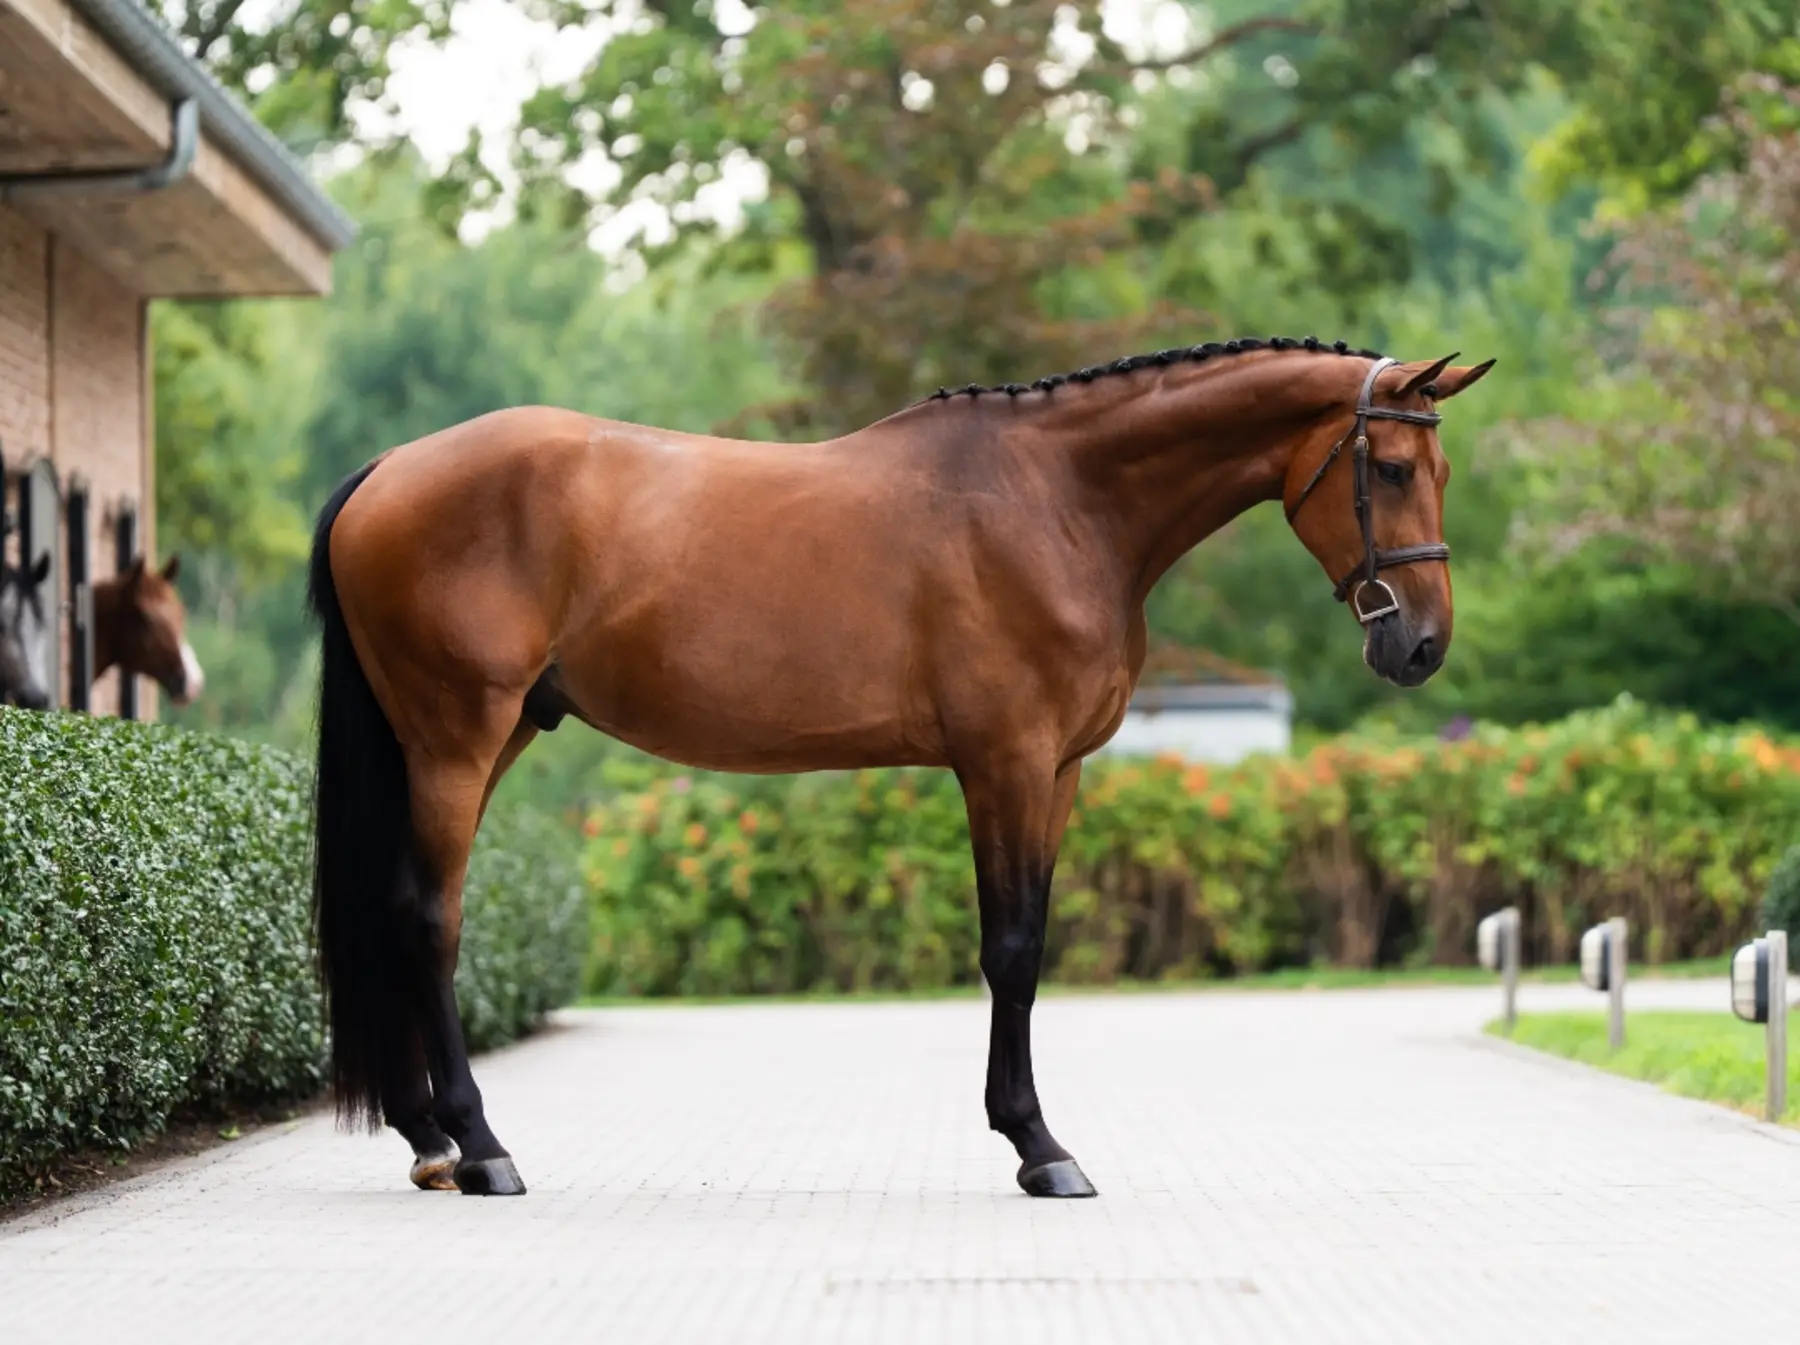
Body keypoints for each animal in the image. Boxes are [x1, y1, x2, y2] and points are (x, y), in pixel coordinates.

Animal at [307, 336, 1494, 1199]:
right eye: (1391, 469)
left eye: (1442, 471)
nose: (1424, 645)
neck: (1061, 500)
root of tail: (387, 471)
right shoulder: (1003, 761)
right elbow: (1010, 949)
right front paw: (1039, 1147)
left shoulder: (1058, 771)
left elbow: (1033, 939)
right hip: (458, 736)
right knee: (430, 919)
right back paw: (482, 1146)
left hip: (492, 733)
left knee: (397, 910)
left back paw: (430, 1141)